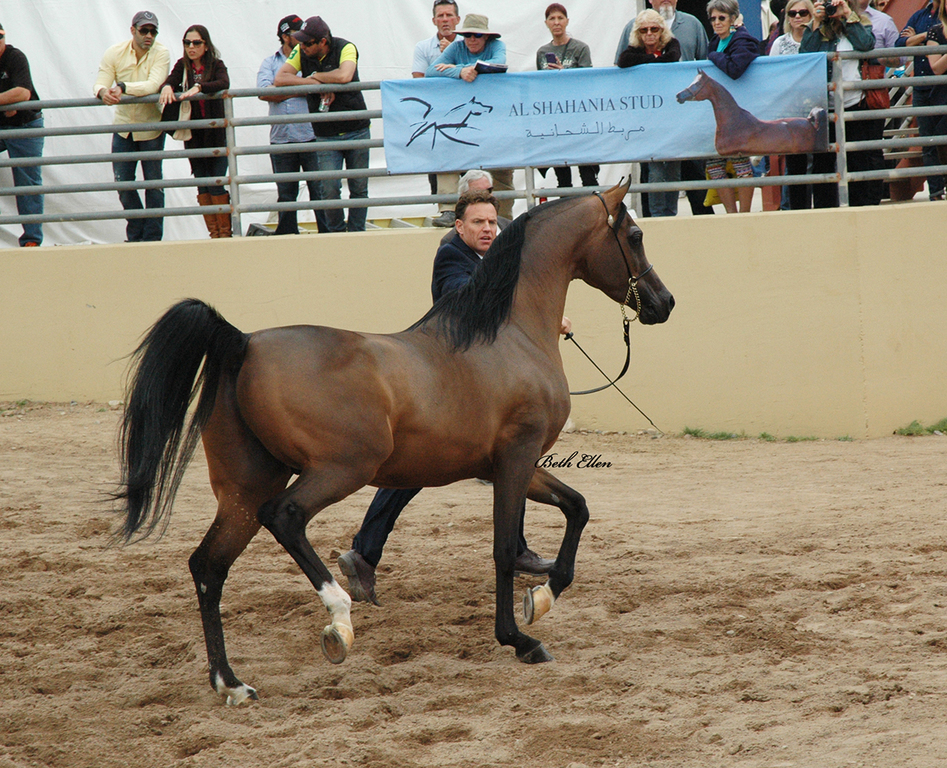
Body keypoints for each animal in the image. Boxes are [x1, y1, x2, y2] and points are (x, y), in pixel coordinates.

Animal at [114, 182, 674, 706]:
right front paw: (519, 638)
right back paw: (339, 620)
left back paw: (231, 683)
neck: (510, 335)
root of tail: (244, 343)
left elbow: (576, 508)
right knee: (284, 517)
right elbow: (502, 549)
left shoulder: (506, 465)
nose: (664, 303)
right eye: (635, 235)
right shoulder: (516, 458)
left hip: (244, 489)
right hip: (340, 470)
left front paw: (541, 597)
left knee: (208, 566)